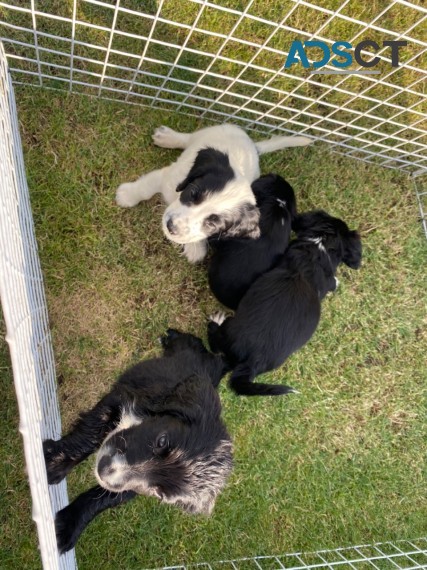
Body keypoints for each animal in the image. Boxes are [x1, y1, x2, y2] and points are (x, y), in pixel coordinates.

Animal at [43, 328, 234, 552]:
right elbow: (90, 435)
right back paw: (172, 335)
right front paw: (53, 463)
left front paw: (69, 525)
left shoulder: (131, 487)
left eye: (159, 493)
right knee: (191, 342)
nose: (104, 471)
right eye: (162, 441)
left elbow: (105, 497)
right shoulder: (122, 398)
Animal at [116, 124, 310, 262]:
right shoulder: (169, 178)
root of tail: (253, 146)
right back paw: (168, 137)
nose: (171, 227)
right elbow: (145, 188)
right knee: (188, 138)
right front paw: (126, 195)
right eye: (192, 193)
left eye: (212, 224)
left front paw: (194, 248)